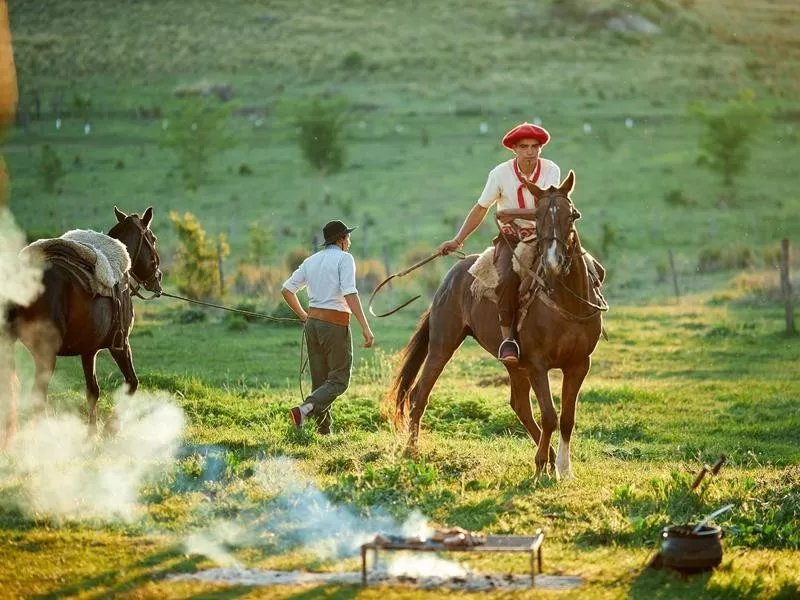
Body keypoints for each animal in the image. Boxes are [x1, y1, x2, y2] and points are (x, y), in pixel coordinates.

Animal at [0, 205, 164, 436]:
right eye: (153, 238)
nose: (158, 278)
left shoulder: (89, 350)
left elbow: (92, 390)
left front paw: (92, 432)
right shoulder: (121, 345)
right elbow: (132, 383)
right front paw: (110, 428)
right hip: (45, 354)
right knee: (38, 397)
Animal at [384, 172, 604, 478]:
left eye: (571, 215)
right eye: (537, 216)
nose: (552, 262)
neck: (566, 303)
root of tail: (450, 276)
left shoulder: (579, 364)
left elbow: (567, 418)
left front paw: (562, 469)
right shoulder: (537, 364)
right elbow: (549, 416)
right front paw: (540, 467)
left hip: (514, 363)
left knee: (520, 405)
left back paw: (548, 456)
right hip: (443, 344)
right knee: (420, 393)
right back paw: (411, 450)